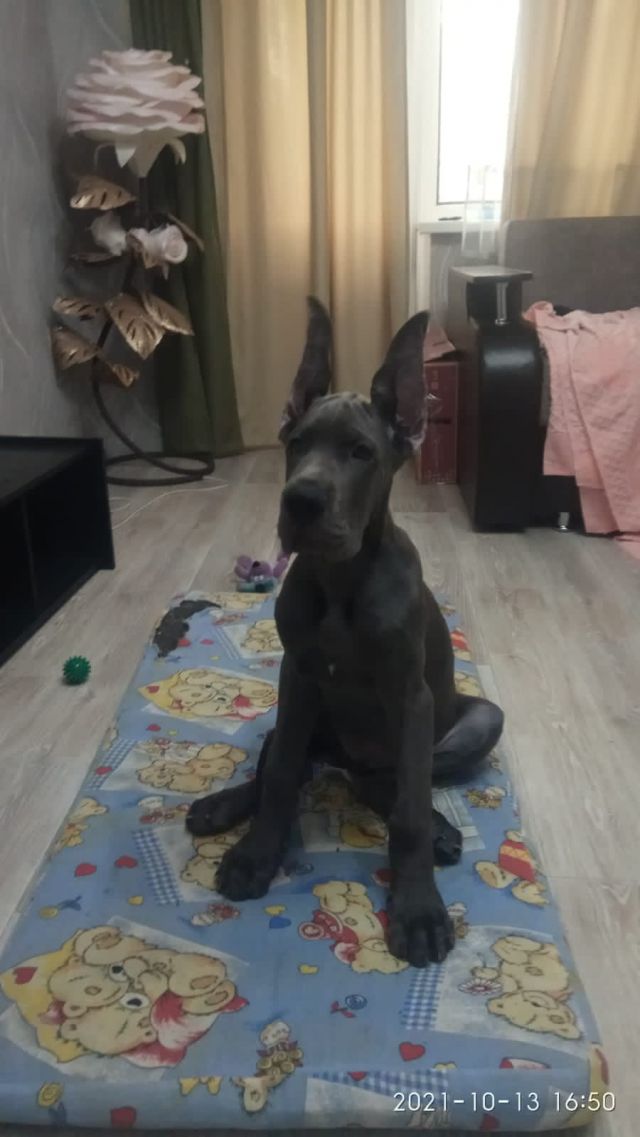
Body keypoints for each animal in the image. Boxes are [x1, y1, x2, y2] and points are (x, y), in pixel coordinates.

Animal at [187, 298, 504, 967]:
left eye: (361, 453)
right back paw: (223, 805)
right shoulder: (298, 678)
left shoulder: (410, 696)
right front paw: (256, 854)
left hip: (477, 721)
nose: (301, 500)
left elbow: (408, 812)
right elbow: (280, 774)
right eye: (296, 444)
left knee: (396, 785)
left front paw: (417, 910)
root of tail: (345, 761)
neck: (341, 581)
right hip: (305, 721)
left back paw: (439, 828)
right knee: (286, 764)